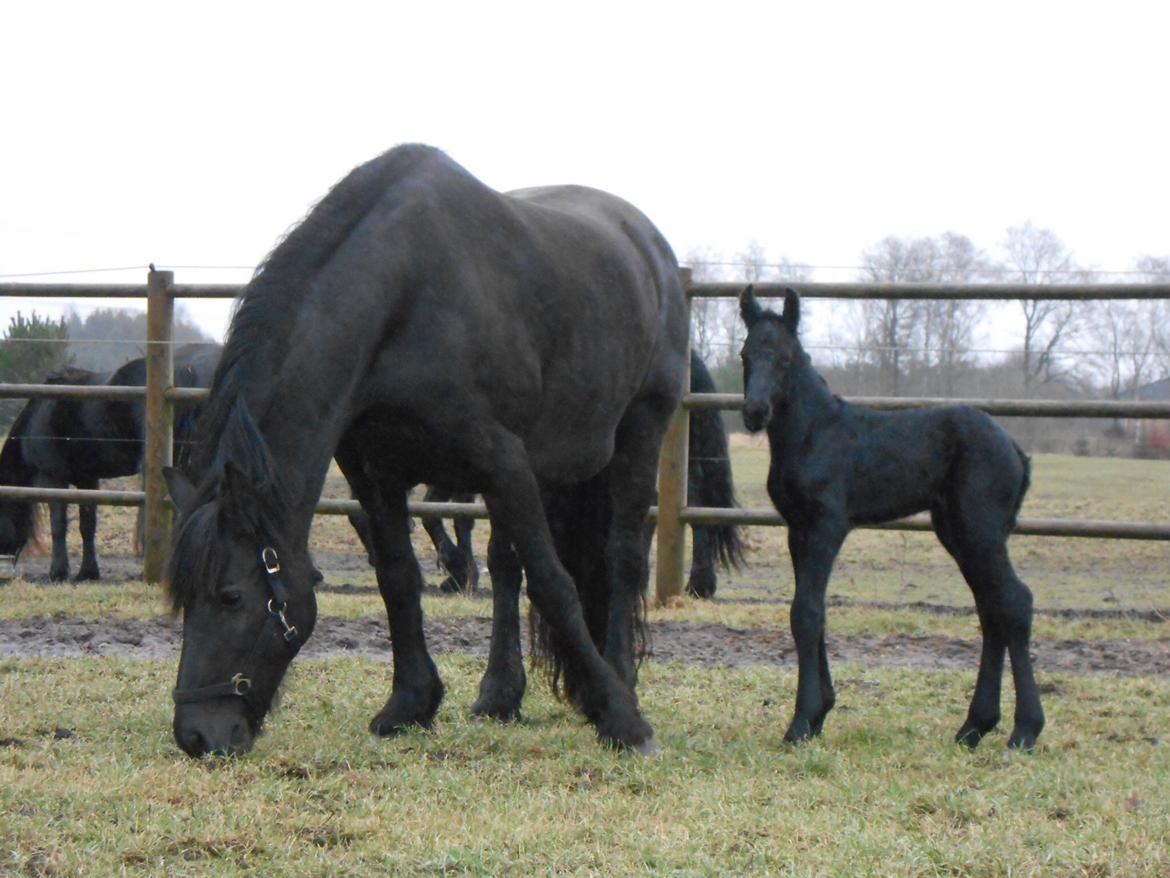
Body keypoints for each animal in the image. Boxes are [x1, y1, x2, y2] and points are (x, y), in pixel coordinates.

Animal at [0, 346, 221, 585]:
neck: (39, 412)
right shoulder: (87, 480)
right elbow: (87, 525)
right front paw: (87, 572)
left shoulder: (51, 478)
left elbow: (58, 525)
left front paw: (58, 572)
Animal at [163, 142, 683, 758]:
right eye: (183, 600)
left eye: (232, 597)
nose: (196, 735)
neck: (404, 298)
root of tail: (647, 241)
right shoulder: (374, 473)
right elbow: (398, 578)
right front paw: (410, 703)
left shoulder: (502, 460)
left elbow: (555, 583)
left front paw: (622, 719)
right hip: (552, 466)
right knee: (507, 568)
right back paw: (501, 695)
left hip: (642, 425)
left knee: (621, 558)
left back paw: (620, 681)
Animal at [739, 285, 1043, 753]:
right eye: (745, 355)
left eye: (785, 359)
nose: (755, 412)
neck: (814, 433)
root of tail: (1013, 447)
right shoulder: (798, 530)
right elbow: (813, 612)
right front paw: (821, 712)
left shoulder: (827, 526)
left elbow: (805, 612)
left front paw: (801, 722)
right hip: (958, 532)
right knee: (992, 607)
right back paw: (974, 727)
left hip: (981, 529)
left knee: (1014, 601)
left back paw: (1024, 730)